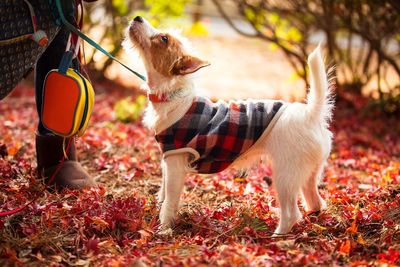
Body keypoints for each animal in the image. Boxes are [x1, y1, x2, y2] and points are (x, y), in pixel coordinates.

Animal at [126, 15, 334, 236]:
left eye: (164, 39)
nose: (138, 17)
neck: (172, 95)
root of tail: (311, 113)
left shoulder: (175, 164)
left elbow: (170, 202)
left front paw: (164, 229)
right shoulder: (168, 161)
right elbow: (164, 193)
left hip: (285, 175)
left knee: (292, 214)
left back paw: (276, 236)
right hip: (308, 174)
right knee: (315, 202)